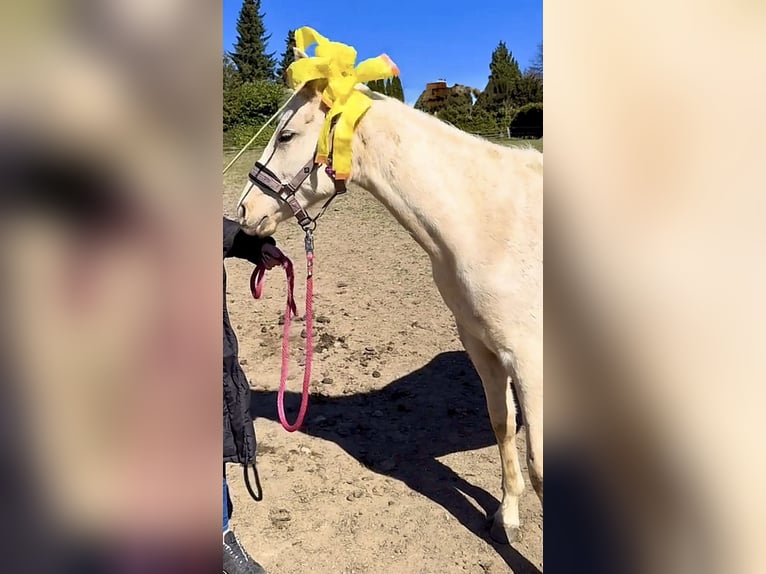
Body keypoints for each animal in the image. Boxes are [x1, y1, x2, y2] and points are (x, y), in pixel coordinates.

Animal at [236, 55, 543, 544]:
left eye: (286, 135)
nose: (244, 213)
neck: (488, 223)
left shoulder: (530, 359)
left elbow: (539, 466)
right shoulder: (485, 349)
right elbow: (503, 425)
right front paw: (507, 516)